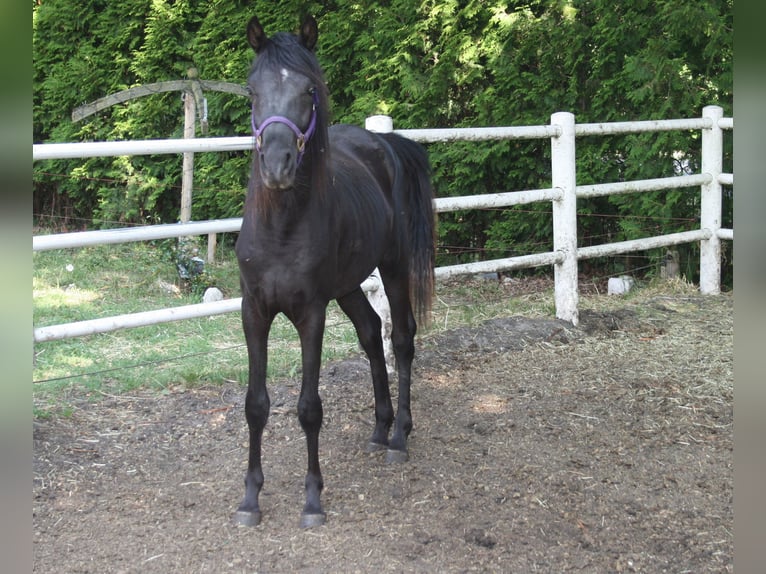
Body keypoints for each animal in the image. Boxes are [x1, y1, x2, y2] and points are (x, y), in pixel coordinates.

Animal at [234, 13, 436, 528]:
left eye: (309, 90)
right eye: (252, 90)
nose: (278, 165)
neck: (281, 228)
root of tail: (383, 142)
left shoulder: (311, 314)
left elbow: (309, 407)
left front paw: (312, 500)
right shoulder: (253, 312)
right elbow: (256, 405)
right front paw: (250, 499)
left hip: (394, 267)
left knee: (400, 339)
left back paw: (399, 436)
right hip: (348, 286)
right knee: (370, 333)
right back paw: (380, 428)